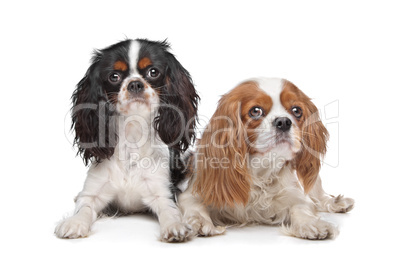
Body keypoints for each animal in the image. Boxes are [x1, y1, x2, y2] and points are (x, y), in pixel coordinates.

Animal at [178, 78, 352, 241]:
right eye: (255, 111)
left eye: (297, 110)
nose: (283, 121)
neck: (261, 168)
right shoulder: (194, 193)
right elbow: (195, 206)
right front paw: (201, 223)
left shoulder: (297, 195)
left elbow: (302, 208)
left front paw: (311, 224)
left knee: (319, 194)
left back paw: (336, 203)